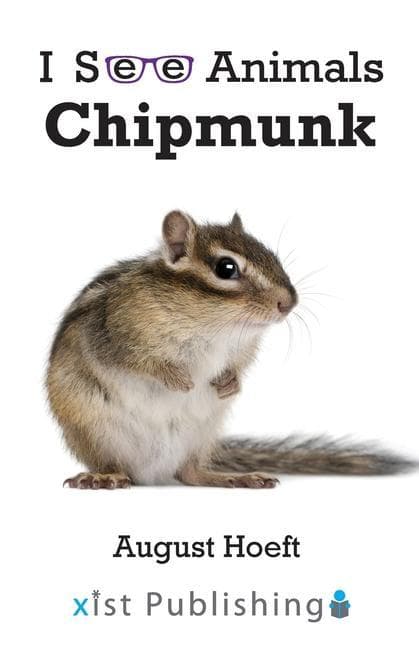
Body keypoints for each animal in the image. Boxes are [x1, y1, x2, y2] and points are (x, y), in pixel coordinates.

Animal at [47, 210, 414, 489]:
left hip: (199, 436)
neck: (213, 327)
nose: (289, 302)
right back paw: (103, 477)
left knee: (190, 473)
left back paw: (234, 478)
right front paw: (178, 379)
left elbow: (237, 366)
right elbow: (137, 361)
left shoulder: (242, 348)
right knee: (117, 465)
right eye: (226, 267)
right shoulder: (111, 333)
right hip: (97, 433)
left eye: (272, 256)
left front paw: (230, 382)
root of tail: (152, 473)